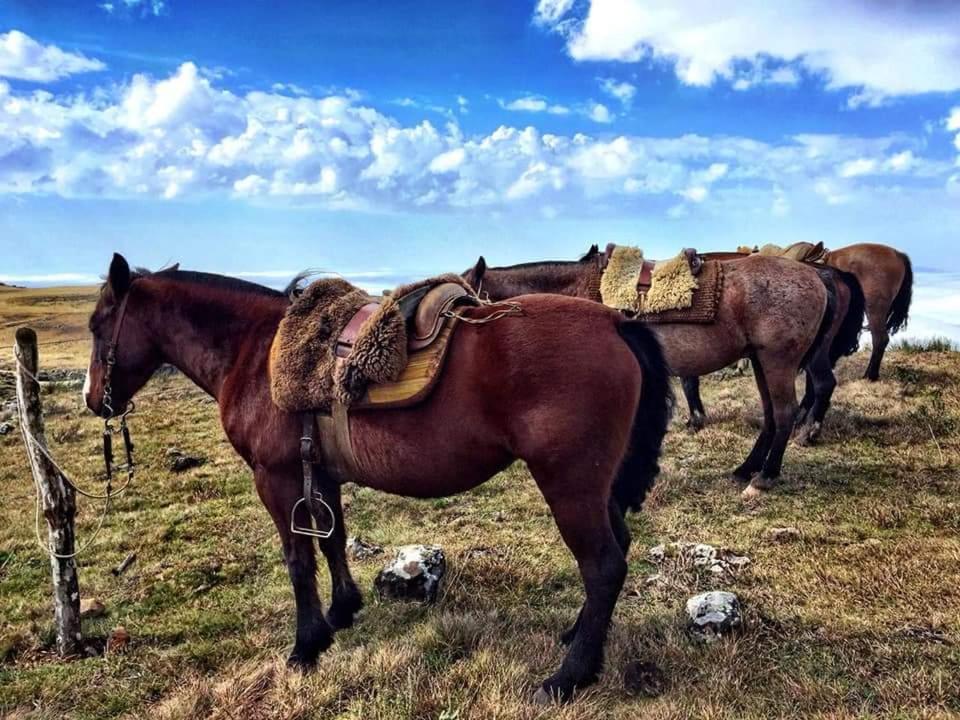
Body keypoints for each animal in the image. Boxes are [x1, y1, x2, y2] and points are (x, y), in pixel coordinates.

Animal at [86, 255, 676, 704]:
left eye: (97, 326)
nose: (95, 401)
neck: (254, 353)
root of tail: (615, 323)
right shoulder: (317, 473)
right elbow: (332, 542)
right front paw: (342, 612)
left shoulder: (275, 479)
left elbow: (298, 560)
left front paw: (306, 646)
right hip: (597, 488)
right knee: (615, 553)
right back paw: (578, 636)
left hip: (570, 485)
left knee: (602, 565)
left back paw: (569, 677)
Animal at [464, 245, 832, 498]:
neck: (575, 294)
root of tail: (816, 276)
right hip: (759, 360)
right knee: (771, 415)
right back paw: (746, 469)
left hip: (778, 360)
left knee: (784, 413)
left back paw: (764, 477)